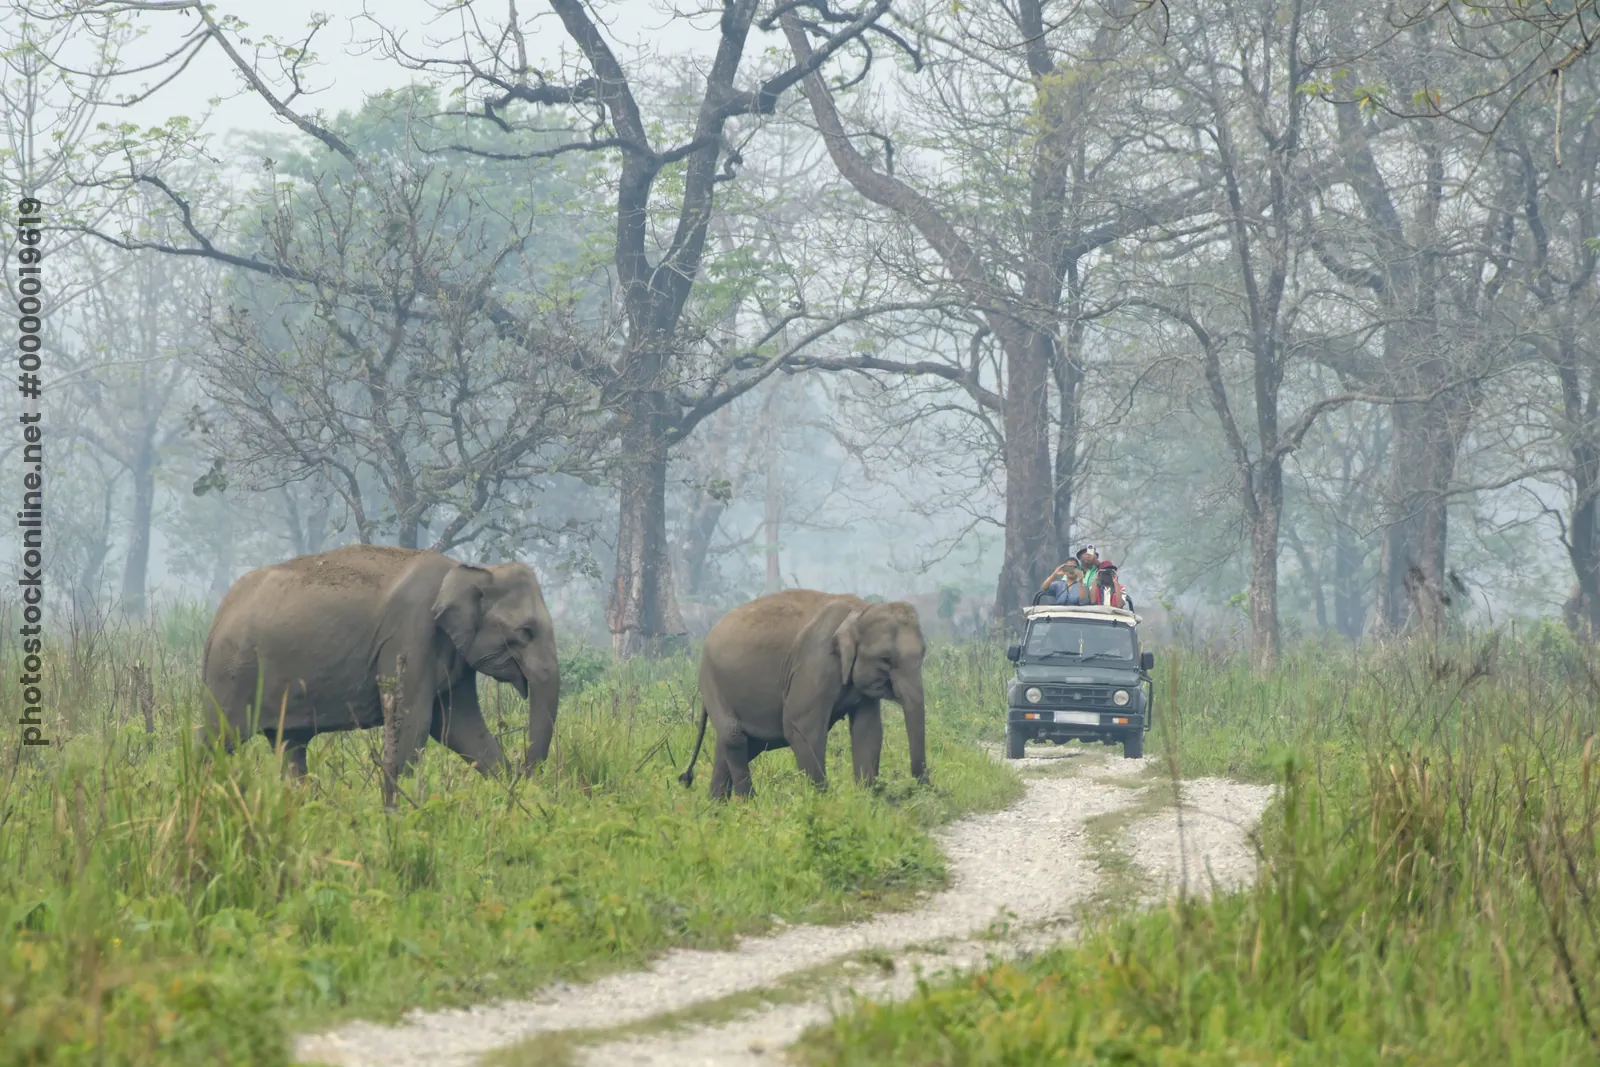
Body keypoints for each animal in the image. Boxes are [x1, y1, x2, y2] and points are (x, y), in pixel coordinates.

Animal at [200, 544, 560, 782]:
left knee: (289, 746)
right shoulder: (410, 636)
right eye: (526, 631)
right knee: (220, 739)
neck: (471, 570)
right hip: (232, 674)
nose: (526, 770)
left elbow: (459, 728)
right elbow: (413, 722)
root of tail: (217, 617)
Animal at [678, 590, 928, 798]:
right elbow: (802, 729)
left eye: (924, 654)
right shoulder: (815, 663)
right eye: (885, 659)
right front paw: (824, 801)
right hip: (712, 681)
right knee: (734, 736)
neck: (860, 610)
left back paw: (716, 809)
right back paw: (747, 804)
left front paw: (865, 799)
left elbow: (868, 731)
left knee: (735, 744)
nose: (921, 787)